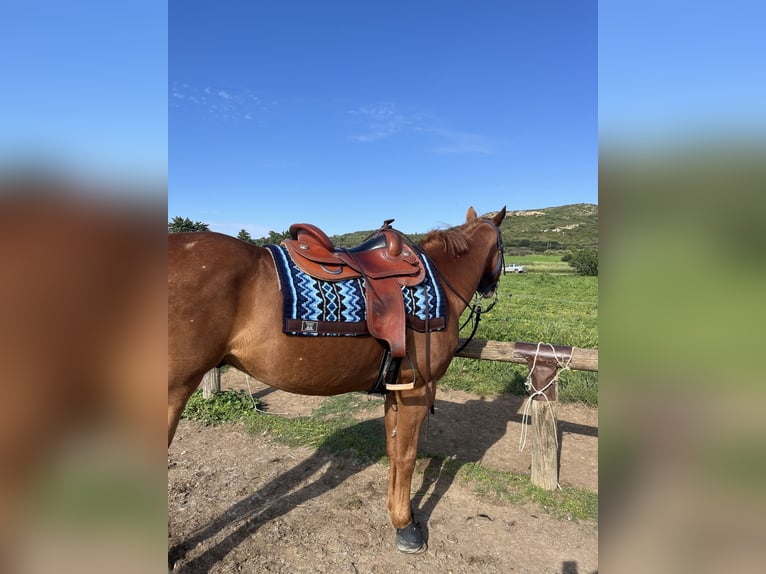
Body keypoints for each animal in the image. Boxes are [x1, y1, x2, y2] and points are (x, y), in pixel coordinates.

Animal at [171, 205, 512, 556]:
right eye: (502, 248)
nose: (490, 288)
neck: (441, 279)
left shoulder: (395, 389)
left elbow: (393, 452)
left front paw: (397, 515)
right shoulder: (418, 390)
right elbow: (407, 456)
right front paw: (406, 527)